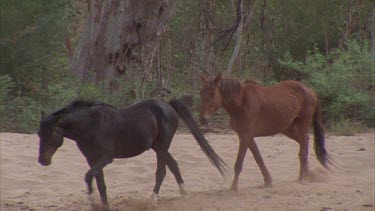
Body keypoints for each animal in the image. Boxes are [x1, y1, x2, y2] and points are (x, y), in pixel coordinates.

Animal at [37, 99, 226, 206]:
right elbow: (100, 183)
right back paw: (184, 194)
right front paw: (103, 205)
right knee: (173, 165)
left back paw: (152, 201)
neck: (90, 125)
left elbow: (88, 176)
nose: (42, 161)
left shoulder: (106, 158)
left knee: (162, 171)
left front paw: (92, 200)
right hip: (158, 147)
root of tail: (168, 105)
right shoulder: (92, 160)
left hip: (162, 147)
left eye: (52, 133)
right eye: (39, 134)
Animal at [200, 72, 332, 191]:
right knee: (305, 143)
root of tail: (310, 91)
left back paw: (303, 178)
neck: (241, 102)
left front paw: (233, 188)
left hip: (302, 124)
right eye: (201, 93)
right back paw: (307, 174)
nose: (203, 119)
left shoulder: (245, 136)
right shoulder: (247, 137)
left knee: (303, 149)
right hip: (287, 129)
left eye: (212, 93)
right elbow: (258, 158)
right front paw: (268, 181)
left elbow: (239, 164)